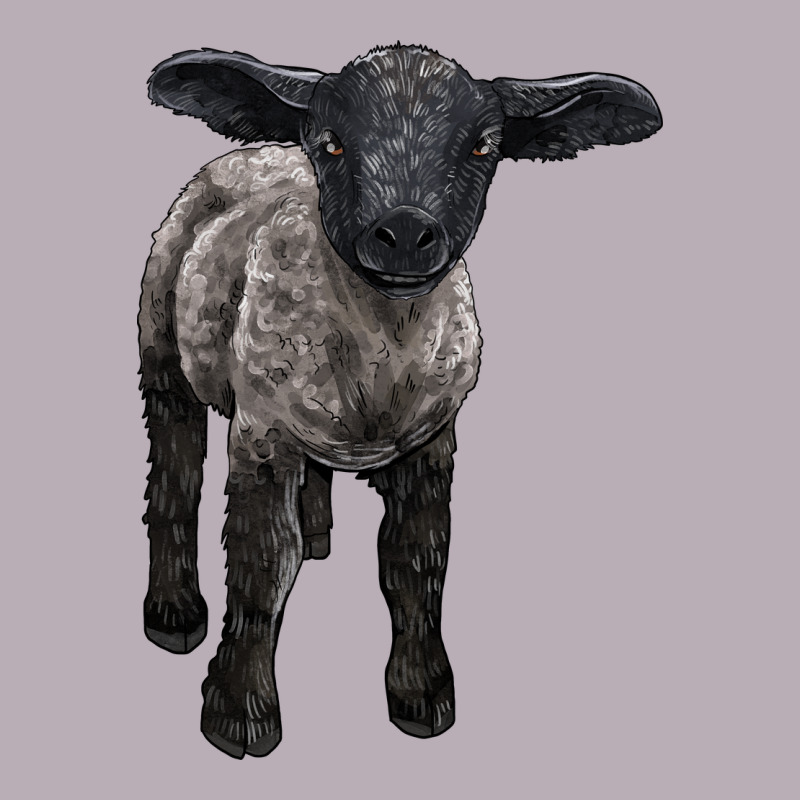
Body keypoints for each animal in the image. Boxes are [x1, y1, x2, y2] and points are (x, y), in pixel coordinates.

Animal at [140, 44, 661, 759]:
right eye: (330, 142)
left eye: (483, 146)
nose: (408, 233)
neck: (380, 355)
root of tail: (258, 152)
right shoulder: (260, 434)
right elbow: (262, 564)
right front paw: (239, 712)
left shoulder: (431, 442)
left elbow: (415, 563)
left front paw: (421, 695)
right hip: (162, 348)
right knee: (175, 470)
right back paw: (173, 612)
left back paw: (319, 532)